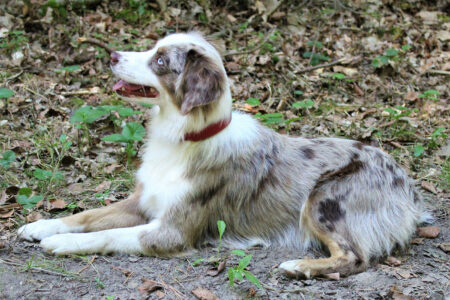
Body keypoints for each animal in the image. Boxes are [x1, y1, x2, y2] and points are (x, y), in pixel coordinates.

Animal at [17, 32, 428, 278]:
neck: (183, 139)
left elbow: (107, 235)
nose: (113, 54)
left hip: (322, 198)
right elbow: (87, 215)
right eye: (152, 48)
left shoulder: (170, 231)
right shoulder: (141, 201)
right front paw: (41, 226)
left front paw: (62, 244)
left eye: (160, 61)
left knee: (355, 257)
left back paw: (299, 265)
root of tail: (408, 187)